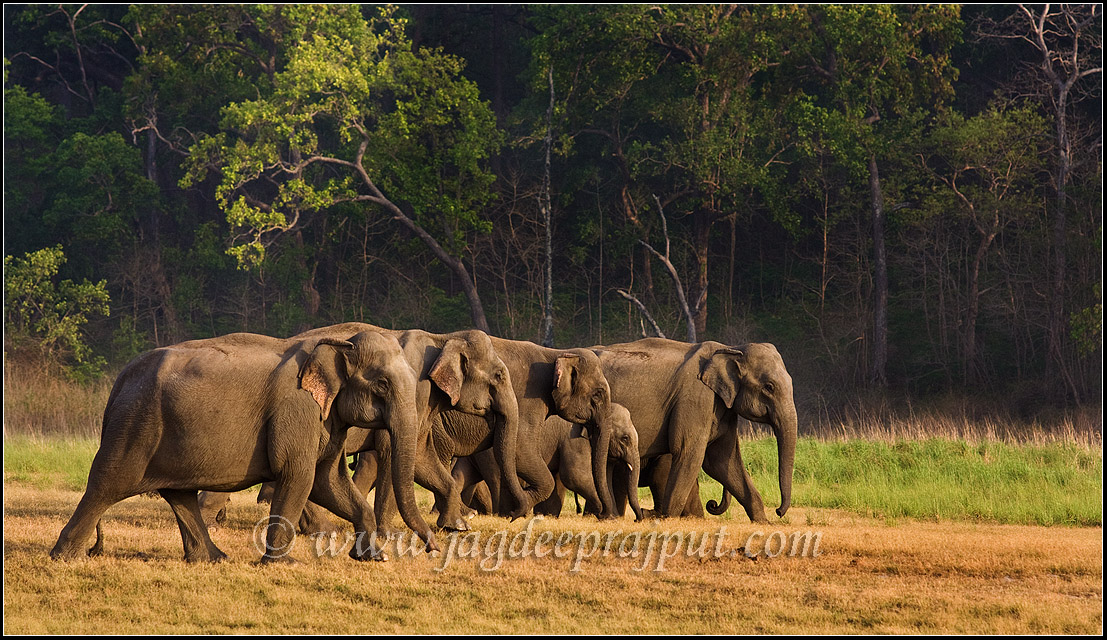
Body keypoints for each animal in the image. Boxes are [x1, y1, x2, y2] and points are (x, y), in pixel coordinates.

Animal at [50, 329, 438, 563]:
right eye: (382, 384)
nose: (431, 548)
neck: (338, 343)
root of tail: (120, 379)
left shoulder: (327, 419)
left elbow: (329, 482)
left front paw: (372, 557)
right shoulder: (298, 411)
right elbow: (298, 476)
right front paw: (282, 563)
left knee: (178, 493)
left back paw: (212, 559)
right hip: (135, 426)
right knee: (107, 484)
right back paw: (65, 557)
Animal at [593, 338, 797, 523]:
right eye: (769, 387)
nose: (779, 511)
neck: (731, 348)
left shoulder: (721, 409)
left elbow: (721, 461)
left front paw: (763, 522)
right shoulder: (696, 400)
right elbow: (688, 453)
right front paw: (666, 519)